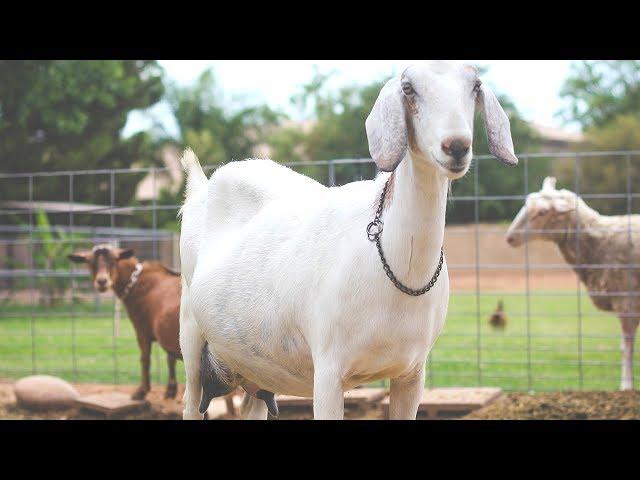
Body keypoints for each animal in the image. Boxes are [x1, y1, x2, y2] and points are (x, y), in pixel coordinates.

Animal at [68, 246, 238, 414]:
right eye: (90, 262)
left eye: (114, 261)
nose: (102, 281)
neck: (136, 282)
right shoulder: (169, 334)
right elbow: (170, 358)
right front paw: (170, 390)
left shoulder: (142, 330)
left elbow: (145, 359)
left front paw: (141, 392)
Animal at [178, 62, 516, 418]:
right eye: (408, 88)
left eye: (475, 85)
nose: (456, 146)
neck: (398, 265)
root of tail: (200, 187)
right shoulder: (328, 371)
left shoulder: (411, 374)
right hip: (191, 338)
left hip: (254, 365)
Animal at [508, 176, 636, 390]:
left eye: (542, 212)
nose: (509, 237)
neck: (602, 240)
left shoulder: (626, 300)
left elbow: (626, 347)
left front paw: (626, 386)